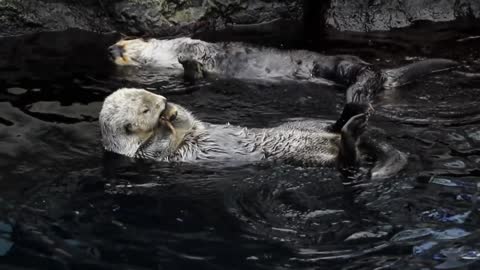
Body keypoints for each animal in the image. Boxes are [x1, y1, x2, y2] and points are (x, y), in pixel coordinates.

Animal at [99, 87, 406, 178]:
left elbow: (190, 120)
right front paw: (164, 123)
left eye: (149, 94)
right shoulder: (145, 156)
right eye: (145, 110)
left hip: (303, 124)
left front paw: (174, 111)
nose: (163, 102)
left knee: (332, 127)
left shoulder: (191, 126)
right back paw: (352, 129)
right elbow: (160, 146)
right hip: (320, 159)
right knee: (348, 160)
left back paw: (352, 110)